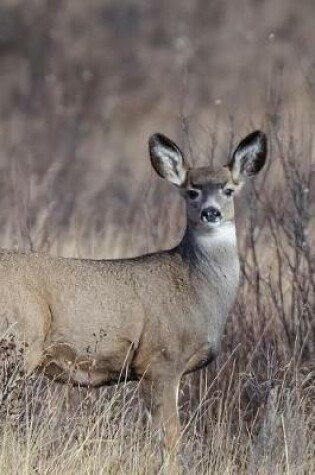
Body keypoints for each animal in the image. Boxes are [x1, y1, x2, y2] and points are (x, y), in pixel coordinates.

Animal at [0, 130, 268, 464]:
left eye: (229, 190)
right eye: (192, 192)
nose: (211, 212)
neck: (195, 286)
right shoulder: (160, 360)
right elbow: (170, 438)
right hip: (20, 341)